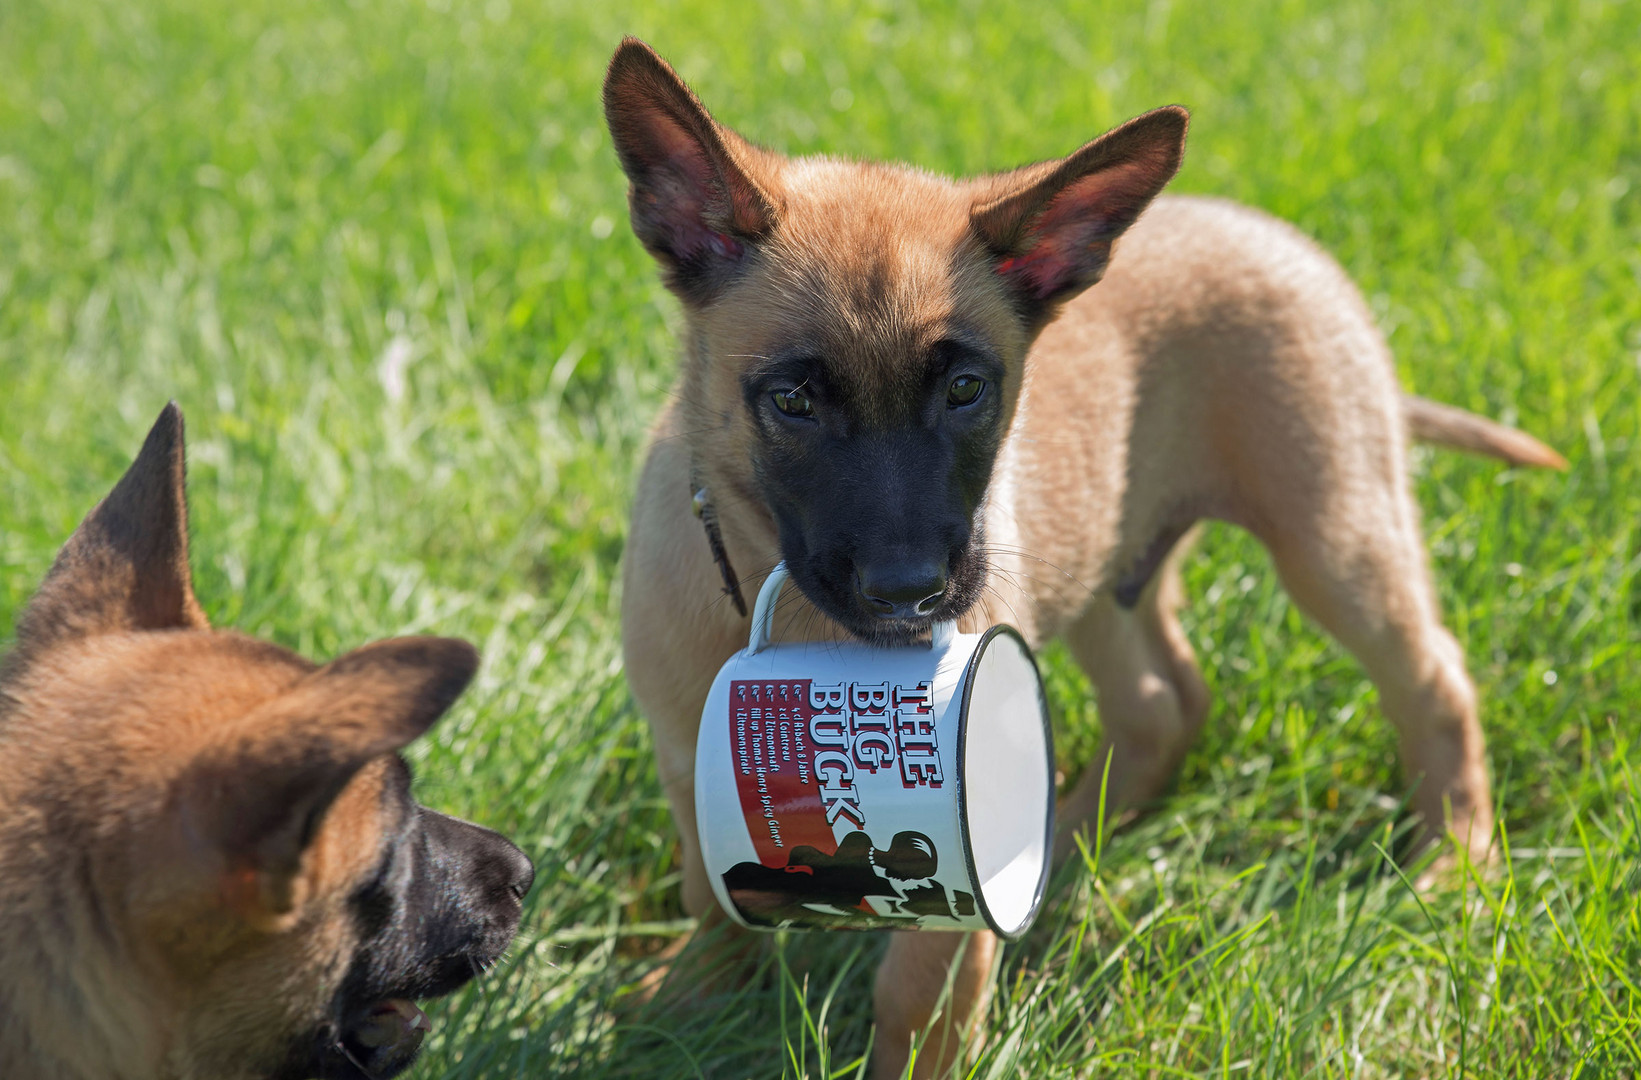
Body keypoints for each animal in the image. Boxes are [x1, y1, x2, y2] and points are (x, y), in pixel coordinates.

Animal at [607, 37, 1562, 1070]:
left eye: (968, 390)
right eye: (791, 402)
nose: (912, 592)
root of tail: (1274, 237)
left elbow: (918, 993)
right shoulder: (684, 753)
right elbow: (710, 897)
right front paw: (694, 996)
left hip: (1331, 534)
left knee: (1432, 678)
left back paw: (1456, 862)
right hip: (1106, 568)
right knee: (1161, 704)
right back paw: (1059, 842)